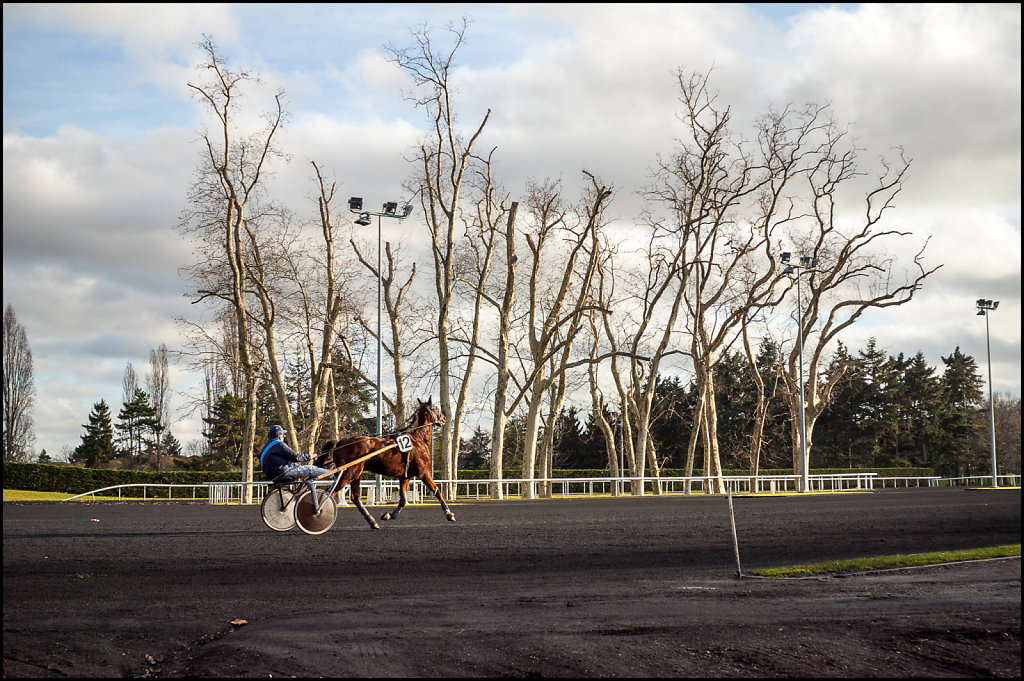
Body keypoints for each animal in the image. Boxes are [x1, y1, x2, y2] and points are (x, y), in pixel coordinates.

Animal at [311, 399, 456, 532]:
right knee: (329, 492)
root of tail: (341, 442)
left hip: (356, 474)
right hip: (348, 474)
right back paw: (317, 513)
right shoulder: (424, 472)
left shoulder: (405, 477)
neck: (418, 440)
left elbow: (403, 500)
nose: (444, 418)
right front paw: (449, 514)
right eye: (436, 408)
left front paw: (389, 515)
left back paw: (372, 521)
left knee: (355, 497)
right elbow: (437, 491)